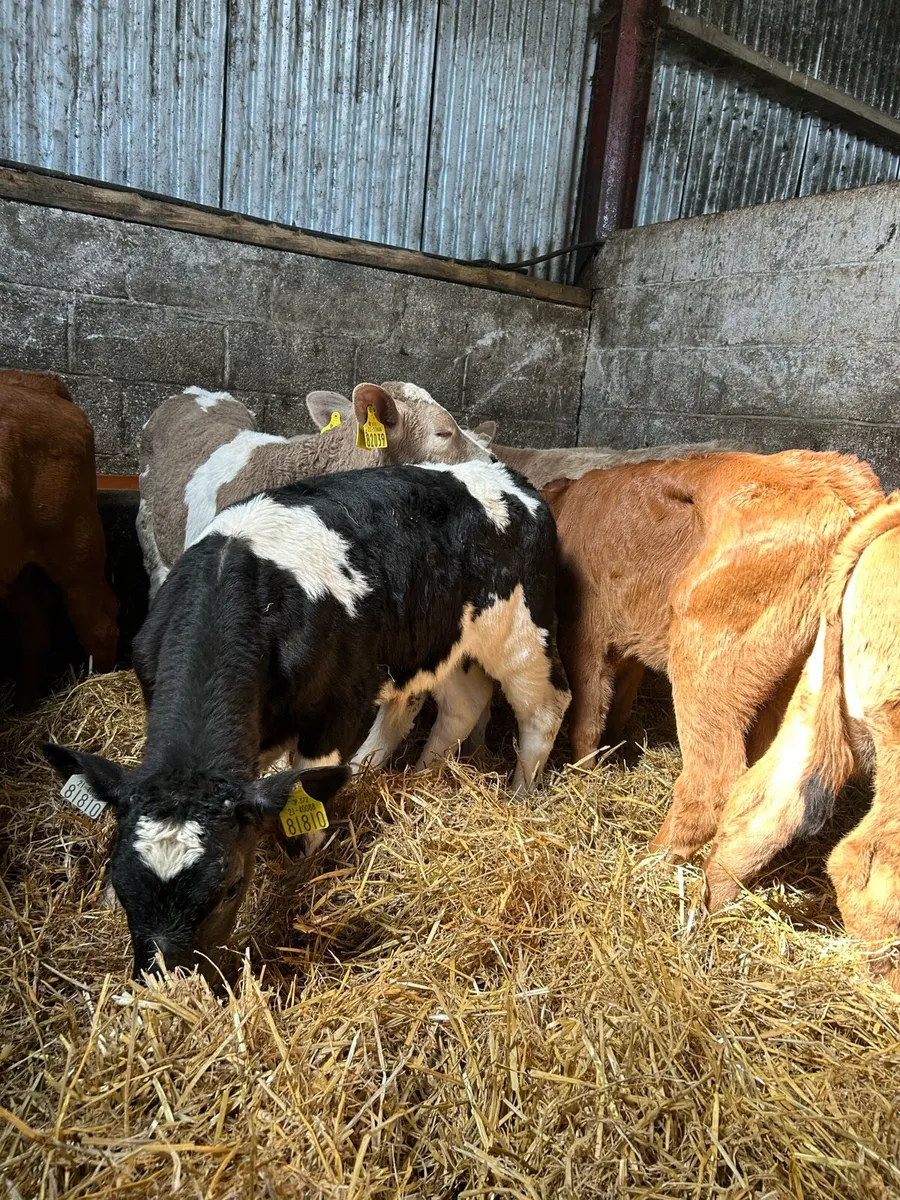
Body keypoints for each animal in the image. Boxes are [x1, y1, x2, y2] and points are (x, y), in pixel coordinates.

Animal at [43, 459, 570, 979]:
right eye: (121, 879)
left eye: (231, 887)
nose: (169, 982)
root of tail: (508, 475)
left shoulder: (335, 712)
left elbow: (305, 802)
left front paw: (304, 871)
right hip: (437, 643)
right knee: (455, 705)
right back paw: (414, 776)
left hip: (523, 635)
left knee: (544, 709)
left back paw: (520, 795)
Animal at [544, 451, 883, 862]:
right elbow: (618, 704)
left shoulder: (585, 638)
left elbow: (586, 720)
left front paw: (583, 773)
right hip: (791, 684)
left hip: (703, 659)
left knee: (711, 780)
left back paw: (652, 860)